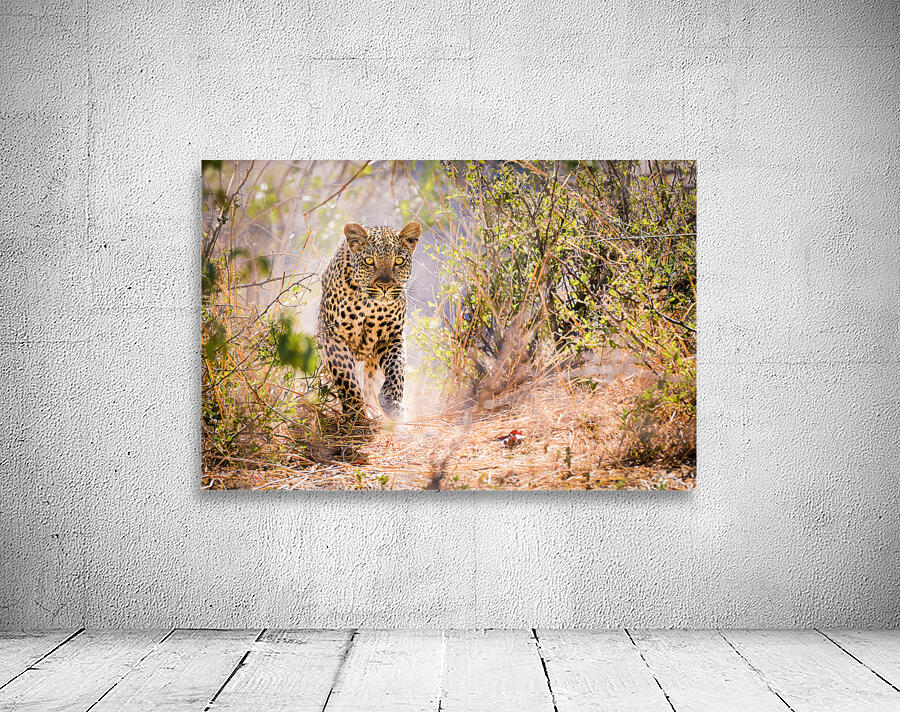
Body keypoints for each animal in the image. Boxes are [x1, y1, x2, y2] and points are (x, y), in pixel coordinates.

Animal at [316, 221, 421, 421]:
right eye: (369, 261)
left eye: (398, 261)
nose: (385, 286)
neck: (370, 305)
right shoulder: (332, 336)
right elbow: (346, 378)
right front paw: (356, 415)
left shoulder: (392, 336)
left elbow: (397, 370)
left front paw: (393, 405)